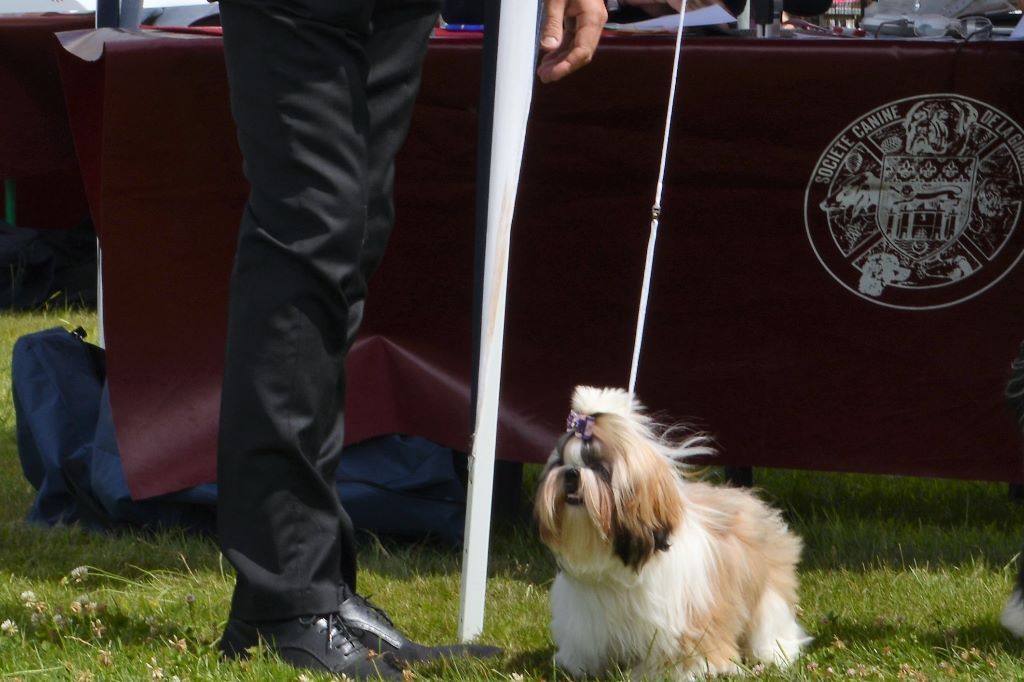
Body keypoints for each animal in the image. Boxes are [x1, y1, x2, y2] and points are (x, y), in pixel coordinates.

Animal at [536, 385, 806, 675]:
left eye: (599, 468)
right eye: (560, 463)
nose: (571, 473)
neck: (620, 567)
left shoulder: (686, 619)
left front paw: (689, 671)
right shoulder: (586, 619)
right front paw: (576, 666)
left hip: (768, 591)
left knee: (771, 619)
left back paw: (774, 653)